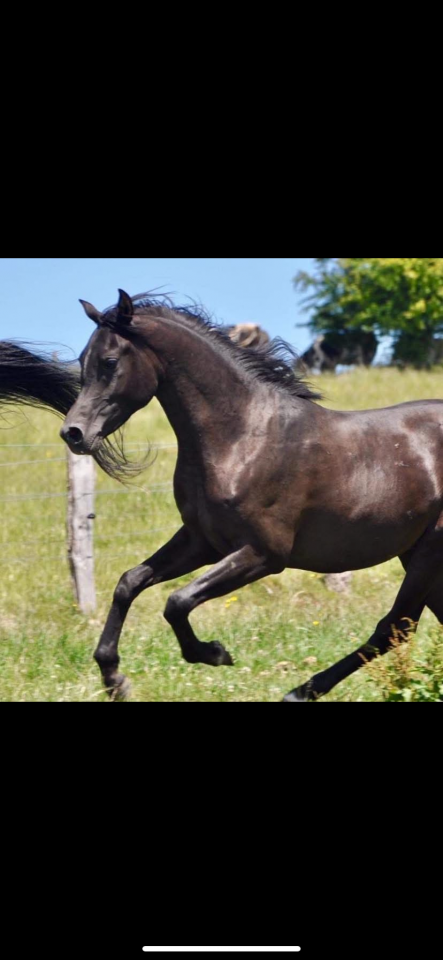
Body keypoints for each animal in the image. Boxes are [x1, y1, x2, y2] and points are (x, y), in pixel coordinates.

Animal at [60, 289, 443, 702]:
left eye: (110, 361)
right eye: (82, 360)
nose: (74, 433)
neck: (242, 436)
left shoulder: (263, 554)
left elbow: (177, 602)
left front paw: (213, 653)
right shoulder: (201, 541)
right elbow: (129, 582)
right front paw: (113, 677)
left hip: (428, 552)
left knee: (394, 626)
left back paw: (299, 692)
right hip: (415, 553)